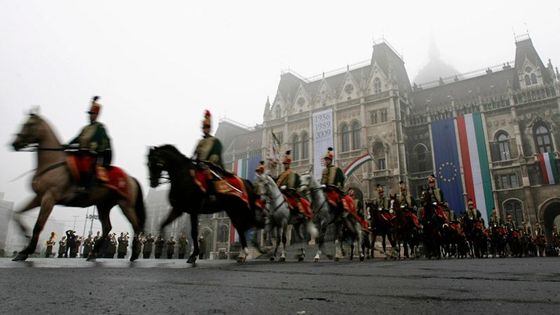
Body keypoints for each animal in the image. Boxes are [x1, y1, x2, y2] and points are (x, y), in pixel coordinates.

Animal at [11, 113, 145, 262]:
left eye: (29, 124)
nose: (14, 143)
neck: (53, 162)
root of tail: (130, 178)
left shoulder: (49, 198)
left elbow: (38, 225)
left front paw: (28, 250)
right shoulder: (38, 197)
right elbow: (17, 214)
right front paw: (24, 246)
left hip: (125, 204)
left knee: (136, 225)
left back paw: (134, 254)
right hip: (103, 205)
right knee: (107, 227)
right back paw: (93, 254)